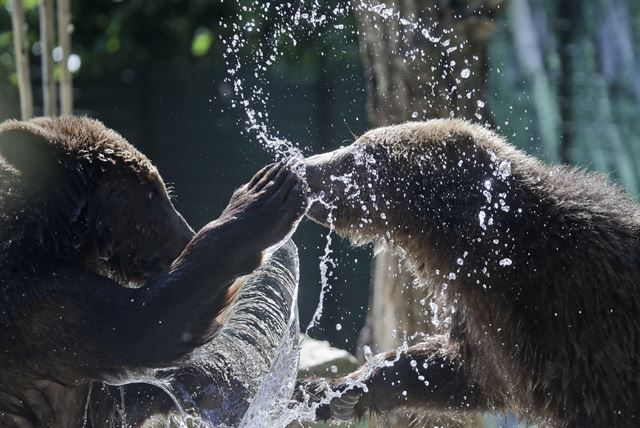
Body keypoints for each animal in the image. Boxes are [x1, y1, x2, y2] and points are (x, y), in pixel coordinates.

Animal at [0, 115, 308, 426]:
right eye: (152, 192)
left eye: (162, 189)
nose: (185, 236)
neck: (49, 236)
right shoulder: (40, 314)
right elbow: (149, 326)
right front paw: (267, 194)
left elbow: (132, 394)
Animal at [298, 118, 640, 428]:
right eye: (356, 144)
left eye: (361, 154)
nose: (306, 166)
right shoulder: (489, 327)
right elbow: (462, 370)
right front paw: (331, 390)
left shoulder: (580, 328)